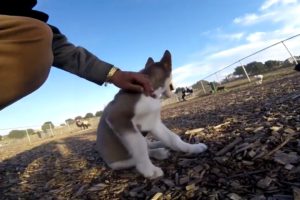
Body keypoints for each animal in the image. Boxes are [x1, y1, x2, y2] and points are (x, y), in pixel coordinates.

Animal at [95, 50, 207, 179]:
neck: (148, 94)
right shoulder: (118, 119)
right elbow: (140, 145)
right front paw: (149, 169)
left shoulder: (154, 122)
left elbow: (173, 138)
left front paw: (192, 148)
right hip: (119, 163)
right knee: (141, 152)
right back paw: (158, 152)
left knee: (148, 144)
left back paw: (158, 144)